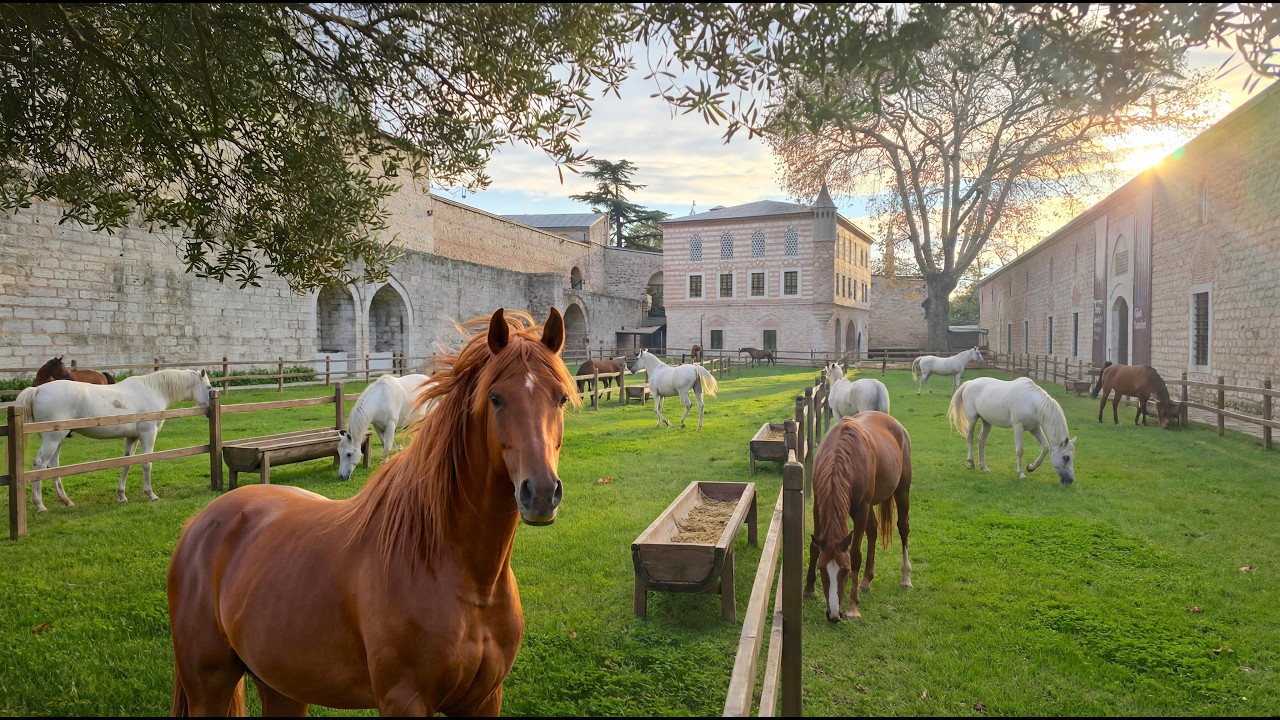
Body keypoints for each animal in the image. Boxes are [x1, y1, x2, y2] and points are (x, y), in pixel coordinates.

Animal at [13, 368, 212, 512]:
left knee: (53, 466)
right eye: (209, 388)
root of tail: (38, 389)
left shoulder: (132, 437)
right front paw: (151, 494)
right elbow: (146, 463)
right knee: (39, 464)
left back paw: (66, 501)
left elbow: (127, 462)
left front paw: (121, 495)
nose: (209, 409)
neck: (152, 390)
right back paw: (40, 505)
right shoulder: (148, 435)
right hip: (52, 439)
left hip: (58, 439)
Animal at [167, 307, 578, 716]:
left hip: (281, 686)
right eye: (495, 397)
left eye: (560, 398)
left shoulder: (484, 699)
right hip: (209, 686)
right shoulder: (404, 700)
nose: (541, 493)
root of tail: (198, 523)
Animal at [803, 411, 913, 622]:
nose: (834, 614)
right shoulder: (818, 506)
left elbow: (855, 554)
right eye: (821, 569)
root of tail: (897, 425)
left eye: (845, 570)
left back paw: (905, 578)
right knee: (873, 531)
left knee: (903, 529)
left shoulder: (861, 510)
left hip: (902, 491)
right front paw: (809, 589)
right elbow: (814, 546)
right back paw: (866, 579)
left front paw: (853, 607)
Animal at [948, 376, 1077, 484]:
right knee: (970, 437)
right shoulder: (1018, 427)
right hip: (972, 419)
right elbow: (1020, 450)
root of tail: (970, 383)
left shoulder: (1034, 428)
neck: (1032, 403)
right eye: (1066, 457)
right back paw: (970, 463)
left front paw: (1030, 467)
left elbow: (1045, 447)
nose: (1070, 481)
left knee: (982, 441)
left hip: (987, 422)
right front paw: (1021, 474)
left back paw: (984, 467)